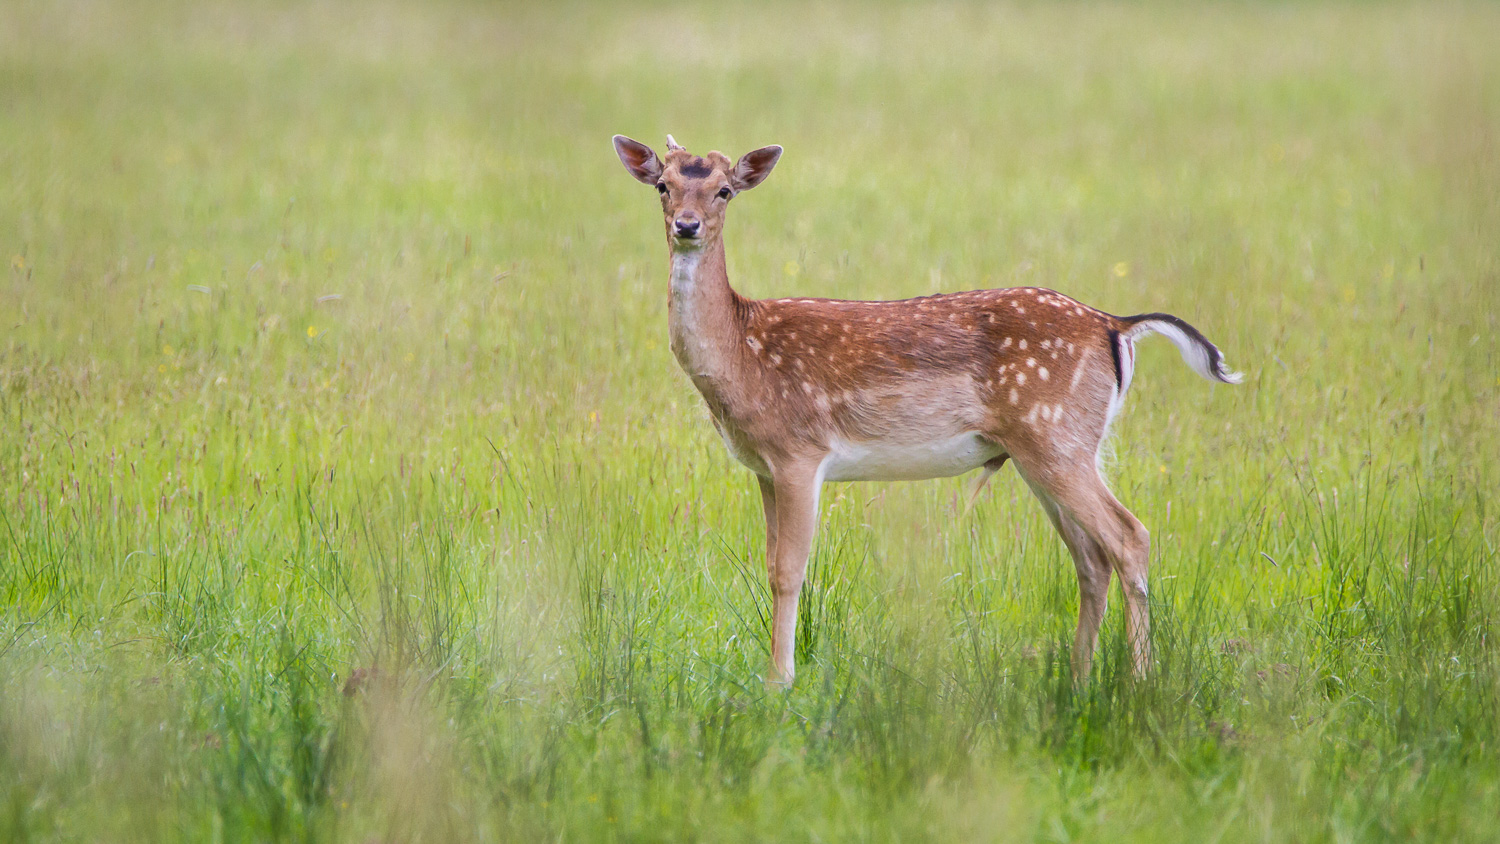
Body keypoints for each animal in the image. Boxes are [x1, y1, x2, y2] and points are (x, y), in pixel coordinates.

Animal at [609, 133, 1242, 686]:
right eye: (663, 185)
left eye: (725, 190)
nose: (686, 226)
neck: (743, 356)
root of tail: (1118, 325)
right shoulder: (763, 468)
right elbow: (769, 567)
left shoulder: (799, 451)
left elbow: (790, 572)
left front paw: (779, 681)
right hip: (1047, 449)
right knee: (1092, 558)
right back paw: (1079, 680)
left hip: (1055, 436)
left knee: (1130, 537)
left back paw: (1138, 682)